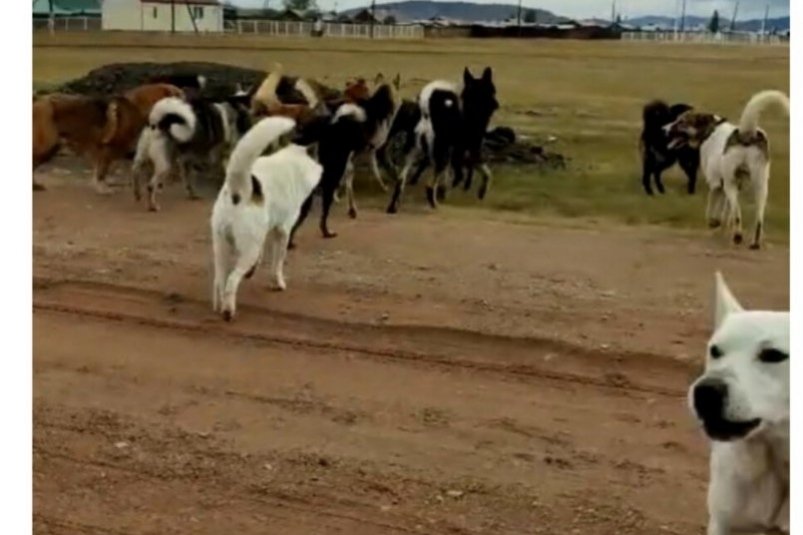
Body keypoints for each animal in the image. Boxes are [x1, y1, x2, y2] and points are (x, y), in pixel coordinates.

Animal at [210, 115, 324, 320]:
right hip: (248, 248)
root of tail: (238, 190)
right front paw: (277, 282)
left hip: (221, 246)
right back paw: (228, 310)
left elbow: (264, 254)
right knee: (232, 280)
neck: (294, 160)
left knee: (220, 279)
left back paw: (220, 304)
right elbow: (278, 261)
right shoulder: (283, 231)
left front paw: (254, 270)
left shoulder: (266, 228)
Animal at [388, 68, 500, 215]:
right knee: (429, 186)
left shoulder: (456, 153)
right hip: (440, 154)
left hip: (413, 152)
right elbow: (484, 174)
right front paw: (480, 191)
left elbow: (457, 175)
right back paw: (434, 205)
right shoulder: (468, 151)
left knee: (400, 180)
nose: (497, 105)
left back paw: (393, 206)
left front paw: (445, 190)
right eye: (491, 90)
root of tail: (426, 113)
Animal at [664, 91, 792, 250]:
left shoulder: (717, 185)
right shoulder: (730, 185)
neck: (711, 130)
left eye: (682, 122)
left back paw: (737, 236)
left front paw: (714, 222)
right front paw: (722, 226)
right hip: (760, 187)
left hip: (731, 184)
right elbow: (726, 210)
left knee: (737, 214)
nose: (664, 129)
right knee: (758, 219)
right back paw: (754, 242)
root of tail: (746, 132)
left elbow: (713, 209)